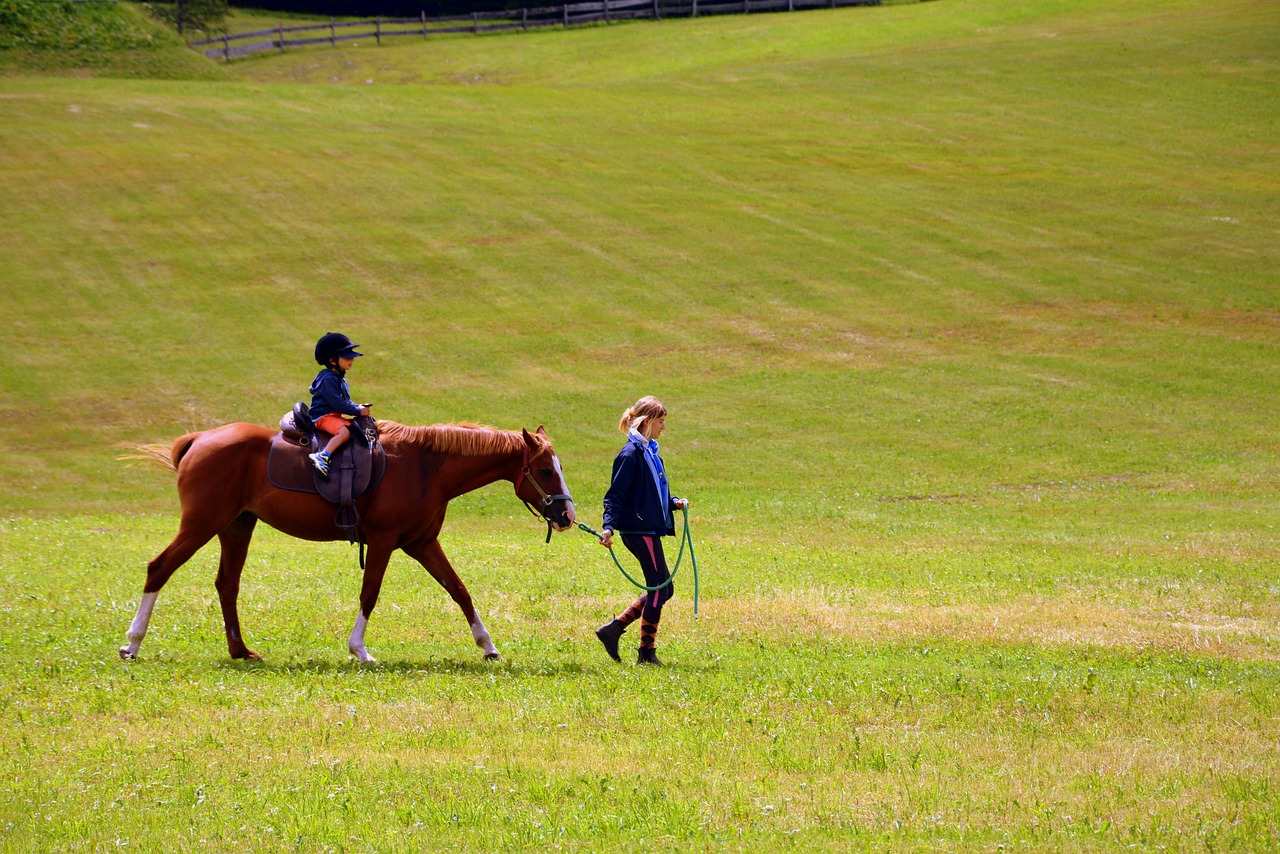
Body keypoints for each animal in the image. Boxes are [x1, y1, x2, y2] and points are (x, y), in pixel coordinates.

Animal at [117, 417, 578, 665]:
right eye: (546, 470)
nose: (568, 516)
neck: (425, 466)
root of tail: (199, 439)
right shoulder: (385, 541)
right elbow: (369, 593)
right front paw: (360, 650)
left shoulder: (422, 543)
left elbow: (460, 591)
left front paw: (488, 646)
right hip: (202, 524)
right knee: (159, 569)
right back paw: (132, 643)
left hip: (236, 527)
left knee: (227, 585)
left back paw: (240, 650)